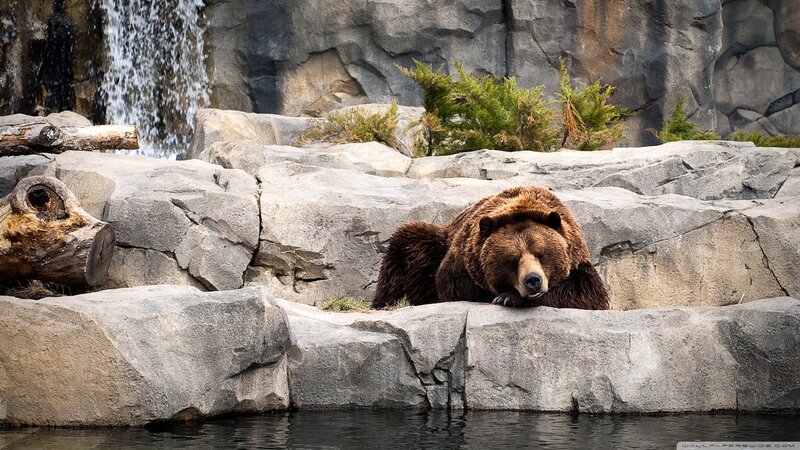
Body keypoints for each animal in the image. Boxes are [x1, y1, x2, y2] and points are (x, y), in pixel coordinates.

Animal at [372, 186, 609, 310]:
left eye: (541, 254)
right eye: (512, 259)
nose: (533, 280)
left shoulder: (578, 260)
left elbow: (587, 293)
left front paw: (510, 297)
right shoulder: (462, 259)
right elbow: (455, 286)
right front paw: (505, 296)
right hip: (433, 243)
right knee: (405, 246)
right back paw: (385, 302)